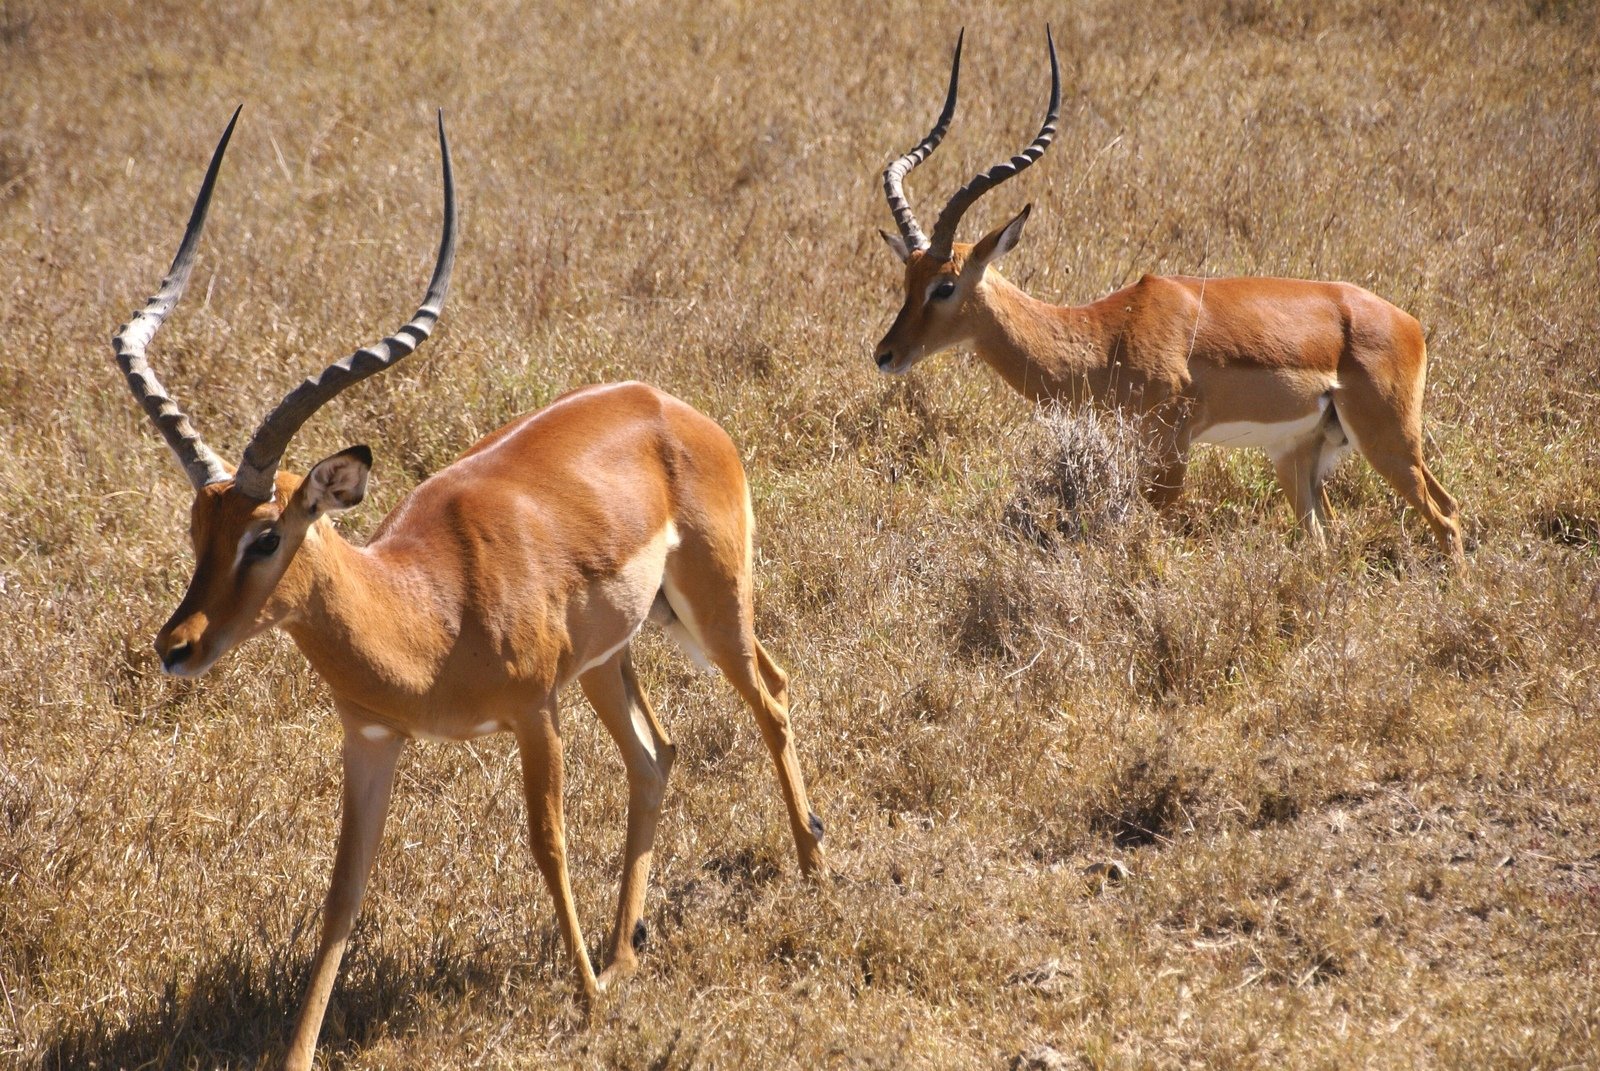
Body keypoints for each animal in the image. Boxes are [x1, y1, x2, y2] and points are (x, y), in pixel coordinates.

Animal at [116, 110, 825, 1069]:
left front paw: (586, 1001)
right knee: (658, 752)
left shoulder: (532, 710)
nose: (176, 646)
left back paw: (807, 873)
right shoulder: (372, 739)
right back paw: (625, 951)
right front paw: (297, 1053)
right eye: (199, 532)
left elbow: (547, 842)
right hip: (613, 656)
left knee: (772, 698)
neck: (426, 611)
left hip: (710, 610)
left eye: (267, 534)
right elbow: (342, 892)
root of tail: (665, 403)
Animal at [876, 28, 1465, 557]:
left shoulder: (1170, 452)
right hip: (1298, 454)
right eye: (906, 280)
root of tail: (1408, 323)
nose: (885, 354)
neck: (1105, 335)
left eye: (945, 286)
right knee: (1329, 541)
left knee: (1448, 517)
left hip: (1388, 439)